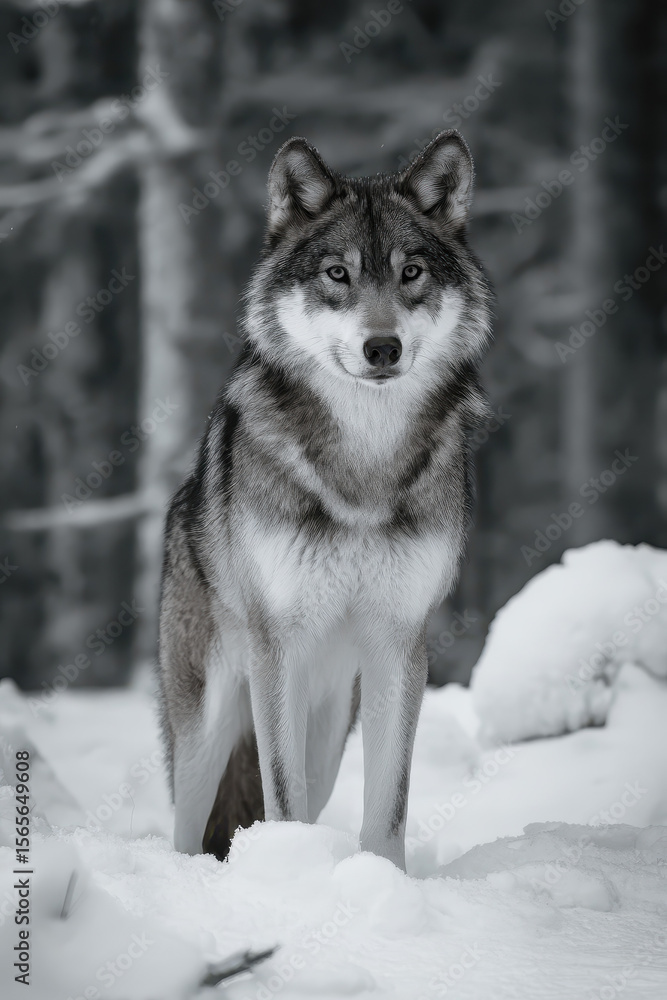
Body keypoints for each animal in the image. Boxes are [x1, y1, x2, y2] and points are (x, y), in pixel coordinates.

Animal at [157, 129, 492, 871]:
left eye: (411, 272)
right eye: (337, 274)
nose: (381, 347)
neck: (363, 466)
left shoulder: (398, 644)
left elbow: (389, 802)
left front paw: (381, 881)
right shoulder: (277, 646)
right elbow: (282, 791)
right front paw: (287, 872)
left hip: (332, 718)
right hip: (210, 718)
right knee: (188, 827)